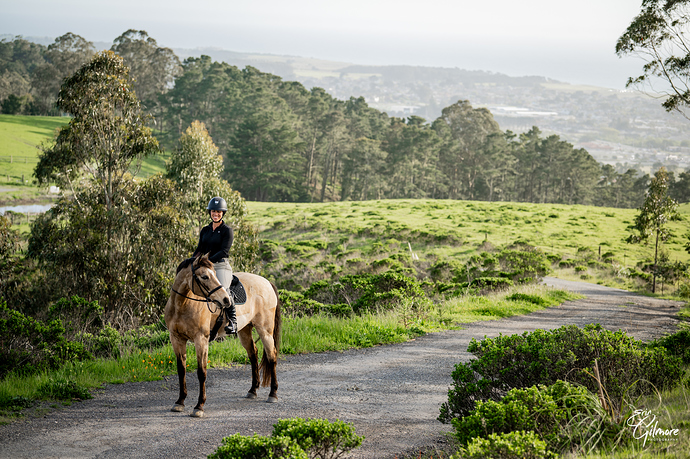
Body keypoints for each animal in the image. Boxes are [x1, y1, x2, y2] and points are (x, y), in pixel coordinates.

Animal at [163, 255, 280, 416]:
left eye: (213, 274)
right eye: (204, 276)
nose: (226, 300)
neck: (182, 305)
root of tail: (267, 282)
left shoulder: (201, 340)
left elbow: (202, 372)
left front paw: (199, 406)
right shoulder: (176, 339)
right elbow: (181, 370)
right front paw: (179, 402)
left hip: (265, 330)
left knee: (271, 356)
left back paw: (273, 394)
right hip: (244, 330)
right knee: (253, 354)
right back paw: (252, 390)